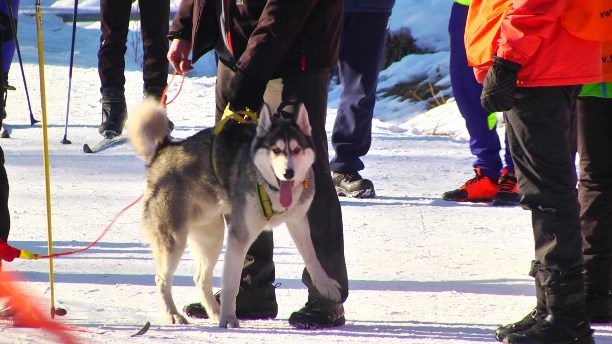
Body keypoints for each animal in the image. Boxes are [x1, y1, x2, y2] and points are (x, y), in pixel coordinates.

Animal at [127, 99, 342, 328]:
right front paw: (229, 318)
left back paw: (214, 311)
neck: (271, 189)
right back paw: (173, 314)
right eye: (275, 150)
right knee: (162, 280)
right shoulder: (240, 236)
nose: (288, 173)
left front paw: (325, 285)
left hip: (212, 238)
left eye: (296, 149)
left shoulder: (298, 221)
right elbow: (231, 283)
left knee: (200, 279)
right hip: (175, 239)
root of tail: (162, 152)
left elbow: (312, 256)